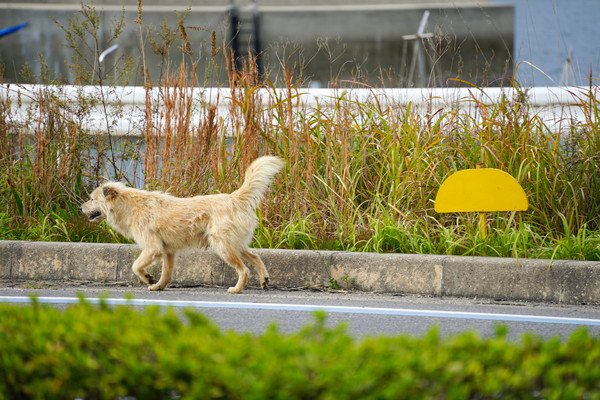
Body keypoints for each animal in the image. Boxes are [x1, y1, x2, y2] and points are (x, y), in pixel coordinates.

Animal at [81, 157, 284, 294]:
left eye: (92, 199)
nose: (80, 207)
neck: (130, 205)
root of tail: (234, 197)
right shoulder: (168, 252)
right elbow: (166, 273)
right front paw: (158, 286)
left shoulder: (153, 248)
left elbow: (135, 266)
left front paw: (147, 278)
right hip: (234, 244)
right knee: (255, 256)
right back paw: (264, 279)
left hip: (222, 246)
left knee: (244, 270)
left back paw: (236, 289)